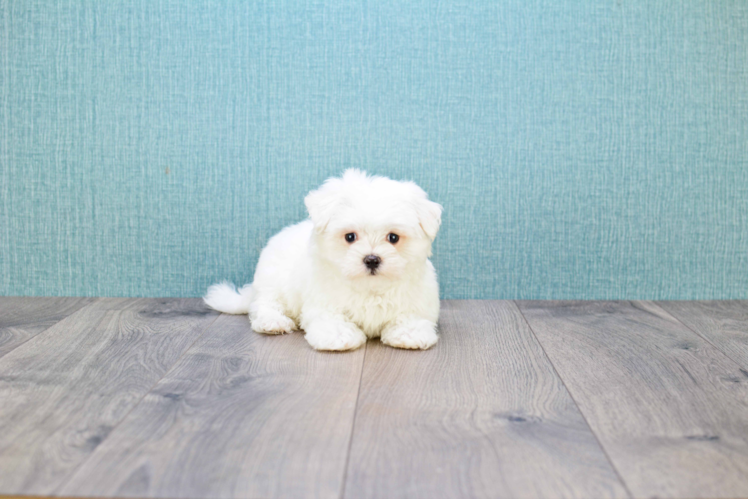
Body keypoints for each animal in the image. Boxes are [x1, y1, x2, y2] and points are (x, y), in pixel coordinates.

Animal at [202, 170, 442, 350]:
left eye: (393, 238)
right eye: (350, 237)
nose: (372, 259)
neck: (370, 289)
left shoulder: (417, 301)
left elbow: (409, 317)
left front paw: (409, 334)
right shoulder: (324, 303)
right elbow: (331, 320)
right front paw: (339, 336)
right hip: (272, 283)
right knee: (265, 304)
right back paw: (273, 322)